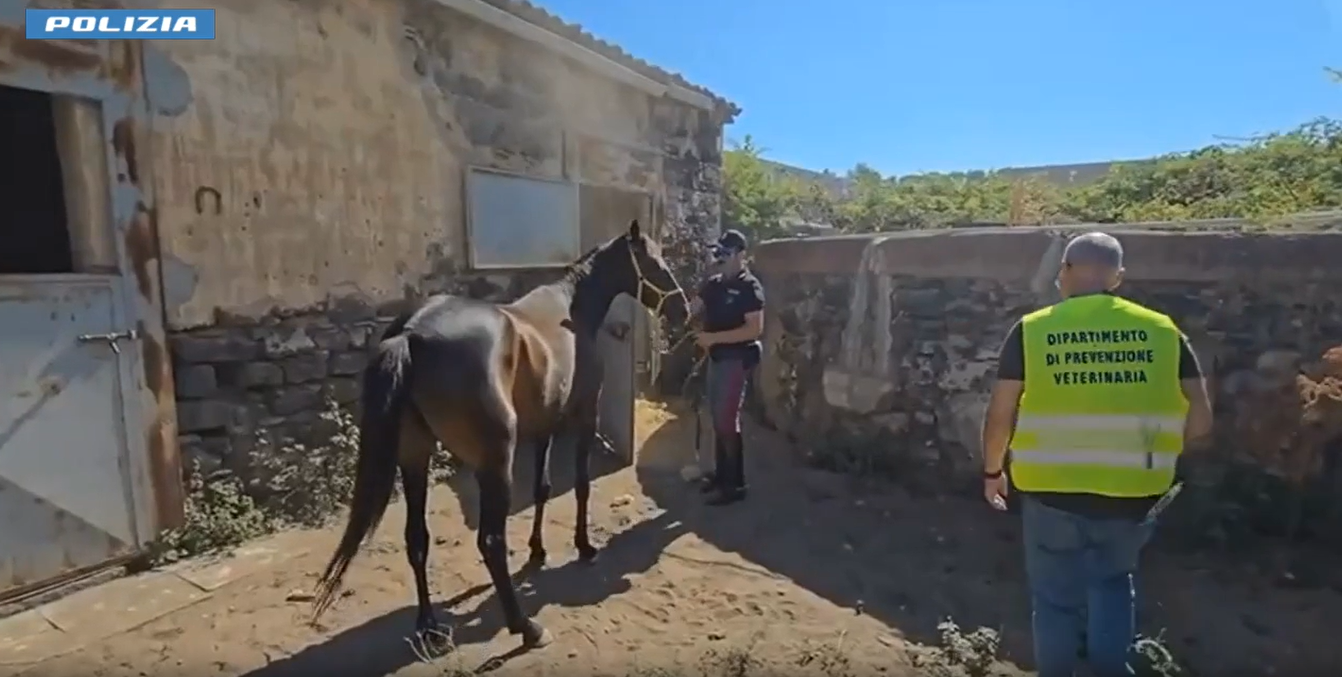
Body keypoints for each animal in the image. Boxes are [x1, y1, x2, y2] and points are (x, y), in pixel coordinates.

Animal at [310, 220, 689, 652]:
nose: (683, 308)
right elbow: (580, 485)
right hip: (494, 462)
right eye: (654, 261)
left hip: (415, 455)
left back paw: (429, 626)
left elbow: (542, 488)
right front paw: (584, 546)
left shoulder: (544, 425)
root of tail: (410, 335)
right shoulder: (583, 417)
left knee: (417, 537)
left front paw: (538, 551)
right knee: (490, 541)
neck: (570, 312)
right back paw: (526, 627)